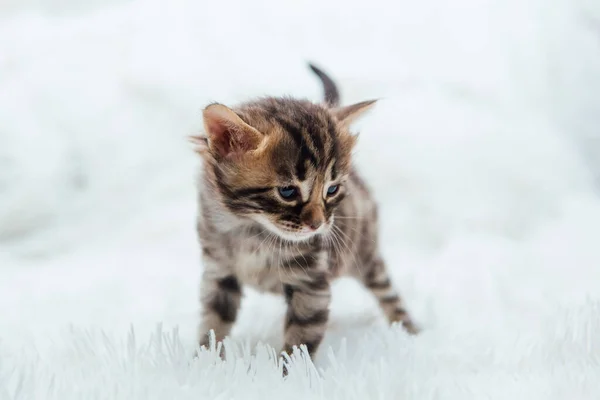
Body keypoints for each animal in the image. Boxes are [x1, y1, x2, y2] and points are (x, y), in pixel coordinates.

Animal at [191, 63, 418, 368]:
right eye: (287, 191)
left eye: (332, 189)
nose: (317, 225)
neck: (250, 229)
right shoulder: (219, 272)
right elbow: (213, 326)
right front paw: (203, 365)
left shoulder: (310, 283)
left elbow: (301, 339)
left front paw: (288, 375)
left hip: (365, 254)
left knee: (389, 294)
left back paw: (411, 333)